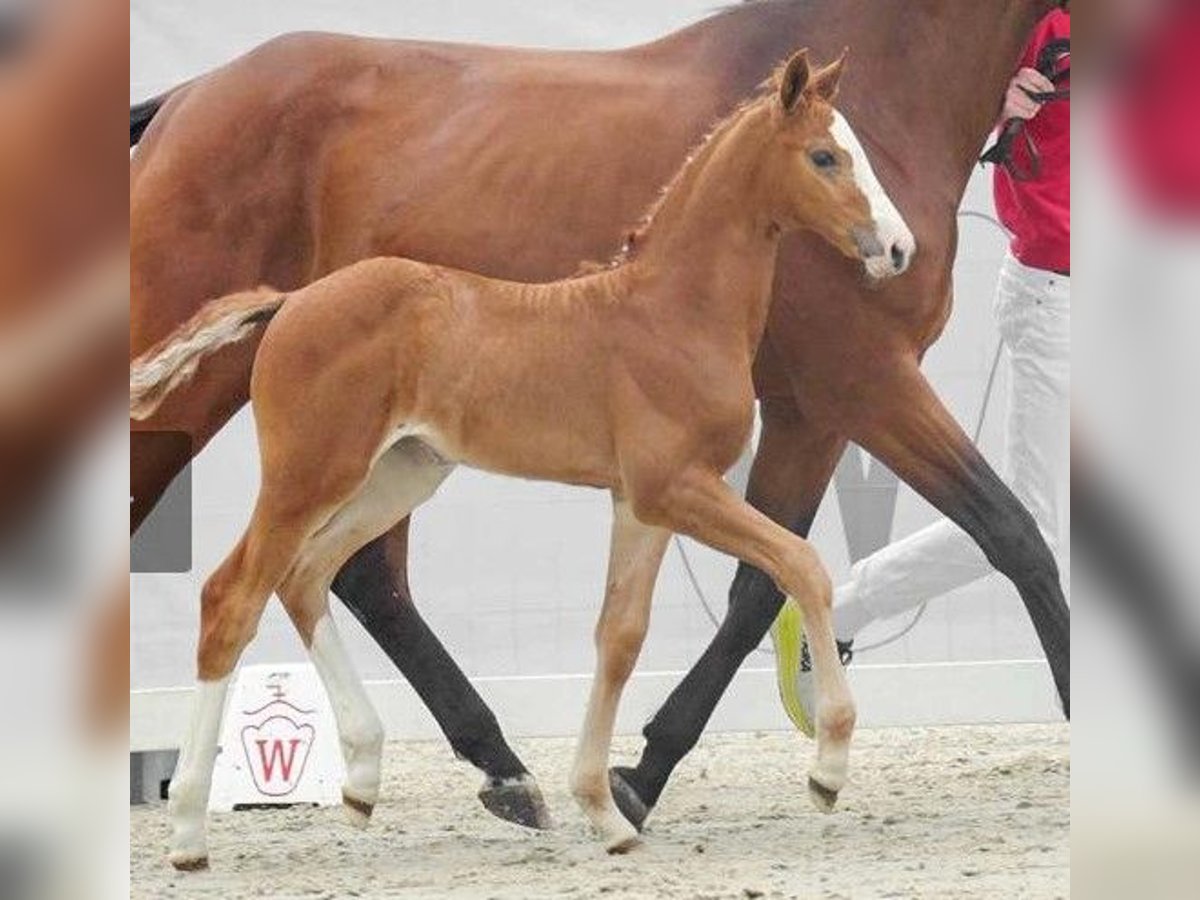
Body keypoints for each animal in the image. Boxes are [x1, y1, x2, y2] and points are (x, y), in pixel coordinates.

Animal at [131, 0, 1070, 830]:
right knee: (244, 574)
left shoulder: (800, 419)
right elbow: (1006, 535)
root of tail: (182, 100)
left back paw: (486, 774)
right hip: (243, 423)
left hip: (394, 459)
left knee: (349, 576)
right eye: (824, 158)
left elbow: (735, 593)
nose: (894, 247)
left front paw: (633, 777)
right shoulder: (861, 385)